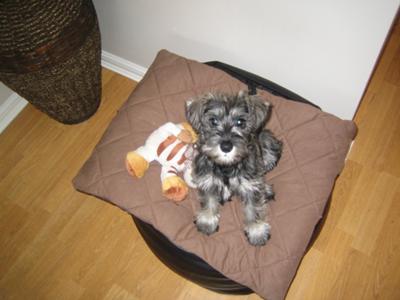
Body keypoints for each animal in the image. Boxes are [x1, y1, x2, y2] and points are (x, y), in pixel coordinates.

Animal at [186, 91, 282, 246]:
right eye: (213, 121)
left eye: (240, 122)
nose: (226, 146)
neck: (226, 166)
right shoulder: (207, 181)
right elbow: (209, 201)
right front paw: (207, 221)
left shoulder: (250, 186)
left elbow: (253, 209)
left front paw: (257, 232)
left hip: (267, 143)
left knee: (262, 172)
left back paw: (266, 189)